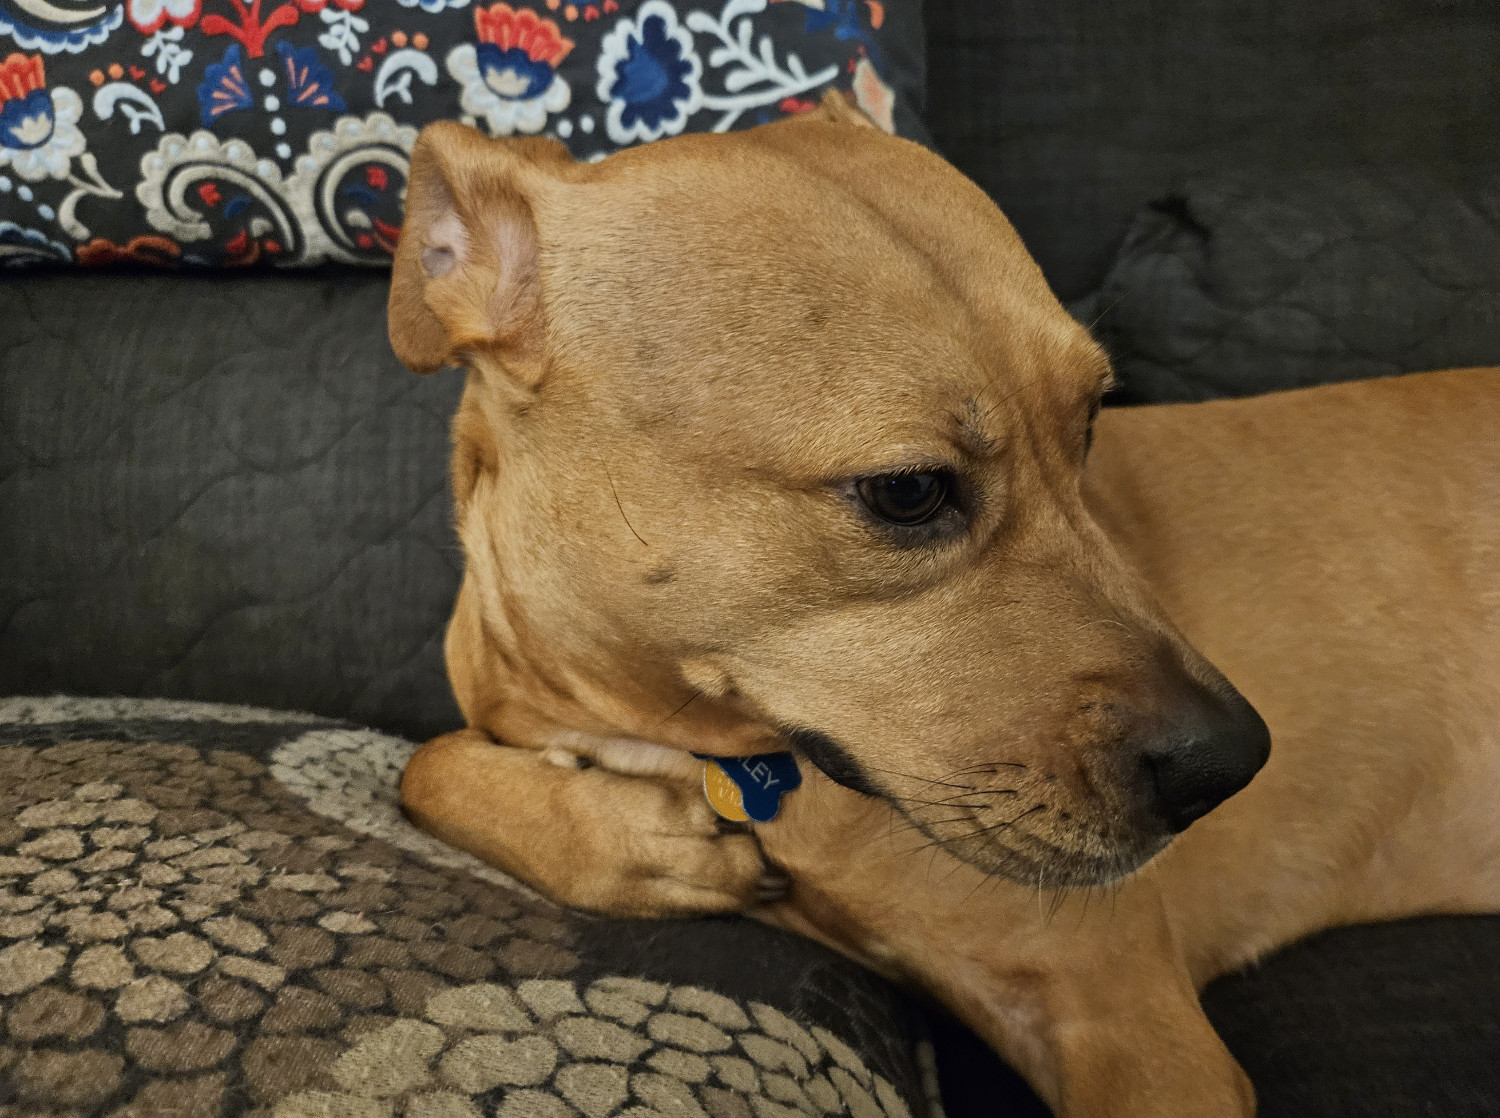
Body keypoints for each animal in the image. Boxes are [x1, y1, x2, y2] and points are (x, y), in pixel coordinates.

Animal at [387, 91, 1500, 1110]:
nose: (1230, 767)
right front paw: (641, 839)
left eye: (1090, 422)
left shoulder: (1131, 1028)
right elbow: (423, 764)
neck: (693, 737)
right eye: (909, 490)